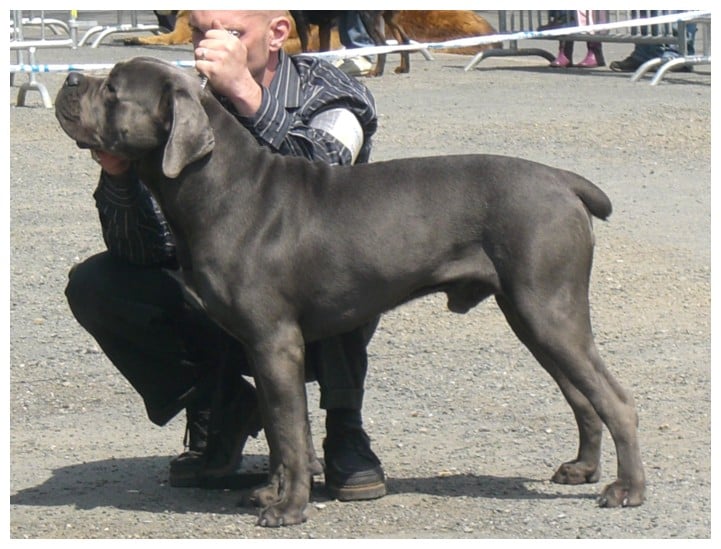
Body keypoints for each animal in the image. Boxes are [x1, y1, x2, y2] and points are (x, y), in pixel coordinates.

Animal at [53, 56, 644, 528]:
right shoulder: (263, 348)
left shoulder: (275, 342)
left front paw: (288, 509)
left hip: (548, 308)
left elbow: (290, 431)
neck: (218, 186)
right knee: (581, 396)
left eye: (114, 90)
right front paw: (271, 491)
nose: (70, 76)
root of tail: (562, 180)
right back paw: (583, 469)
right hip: (532, 315)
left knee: (614, 398)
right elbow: (279, 430)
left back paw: (627, 490)